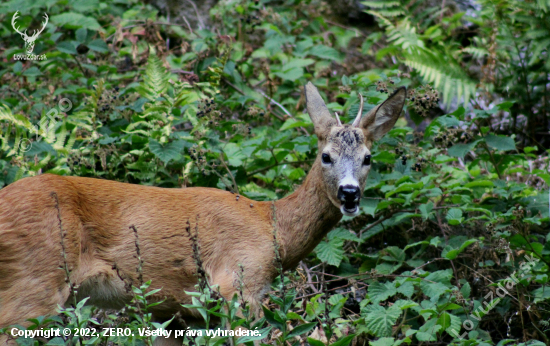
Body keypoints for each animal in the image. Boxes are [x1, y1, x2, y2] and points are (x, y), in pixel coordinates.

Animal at [0, 82, 406, 344]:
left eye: (368, 158)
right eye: (326, 156)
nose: (349, 194)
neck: (272, 227)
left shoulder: (171, 313)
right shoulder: (238, 283)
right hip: (33, 285)